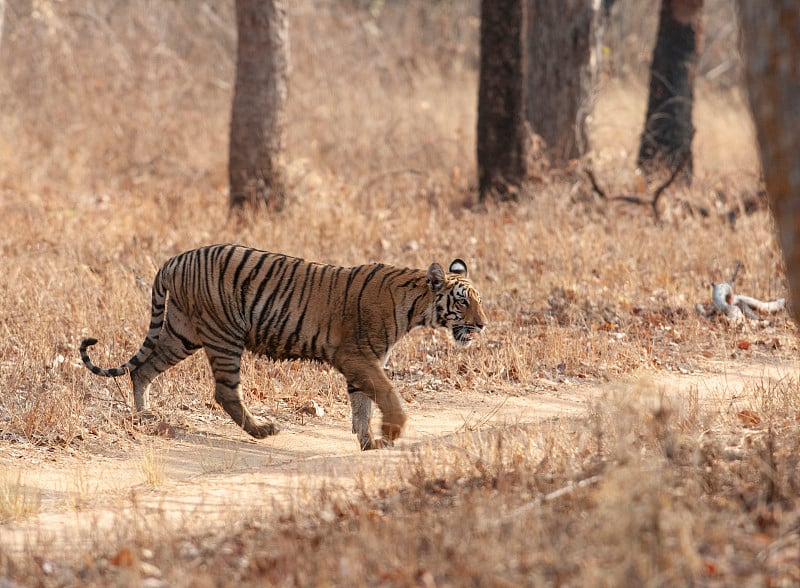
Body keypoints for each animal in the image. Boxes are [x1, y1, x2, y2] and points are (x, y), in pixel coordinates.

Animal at [79, 243, 488, 450]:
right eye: (463, 302)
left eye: (477, 301)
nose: (483, 325)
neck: (416, 307)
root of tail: (174, 259)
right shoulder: (358, 356)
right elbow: (387, 394)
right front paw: (392, 432)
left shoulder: (364, 362)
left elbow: (362, 405)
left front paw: (369, 441)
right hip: (223, 335)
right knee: (224, 392)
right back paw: (262, 431)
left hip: (183, 332)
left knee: (143, 368)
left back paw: (145, 418)